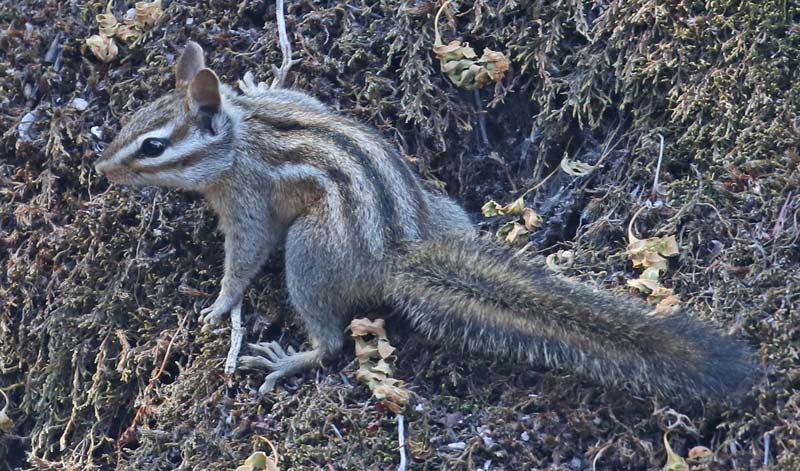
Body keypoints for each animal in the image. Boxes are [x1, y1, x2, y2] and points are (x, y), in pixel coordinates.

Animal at [95, 42, 758, 402]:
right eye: (131, 120)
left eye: (152, 146)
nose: (102, 168)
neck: (240, 133)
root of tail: (401, 251)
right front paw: (258, 76)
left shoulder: (249, 198)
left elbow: (246, 256)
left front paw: (220, 307)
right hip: (443, 210)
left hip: (310, 253)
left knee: (332, 342)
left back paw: (286, 361)